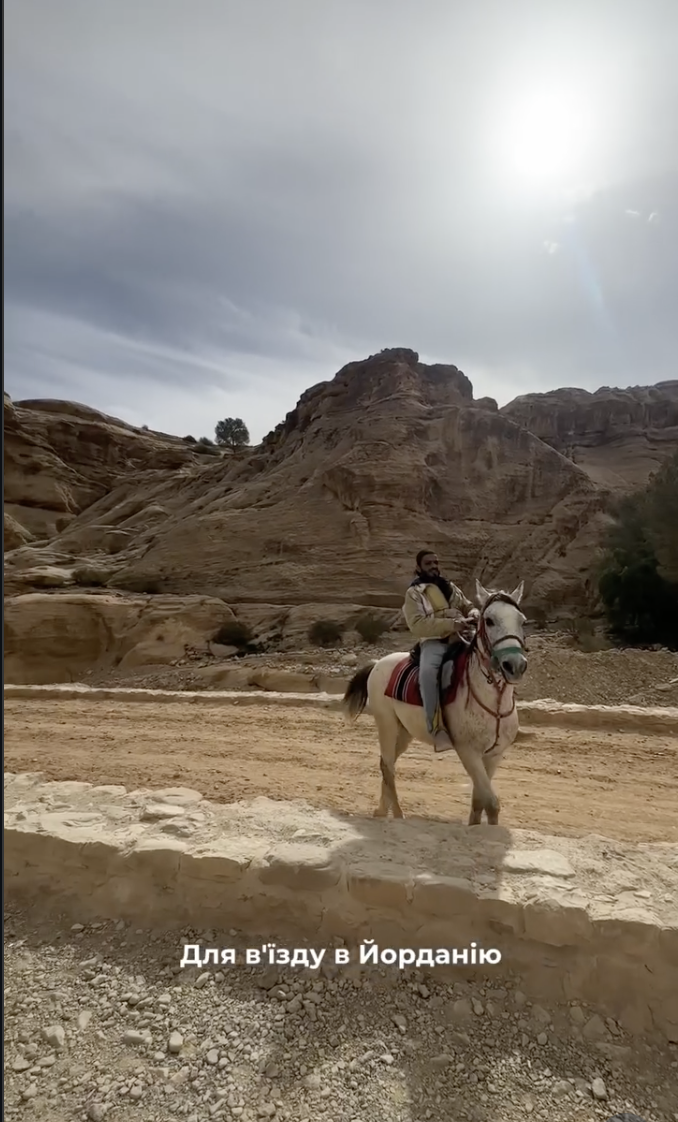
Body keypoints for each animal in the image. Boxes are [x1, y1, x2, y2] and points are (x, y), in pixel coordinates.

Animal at [342, 579, 528, 826]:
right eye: (489, 620)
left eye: (522, 620)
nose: (515, 665)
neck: (494, 702)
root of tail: (377, 664)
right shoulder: (468, 752)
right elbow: (491, 803)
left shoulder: (493, 755)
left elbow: (479, 801)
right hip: (386, 724)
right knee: (388, 766)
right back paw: (398, 814)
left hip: (404, 732)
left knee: (386, 762)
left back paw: (382, 810)